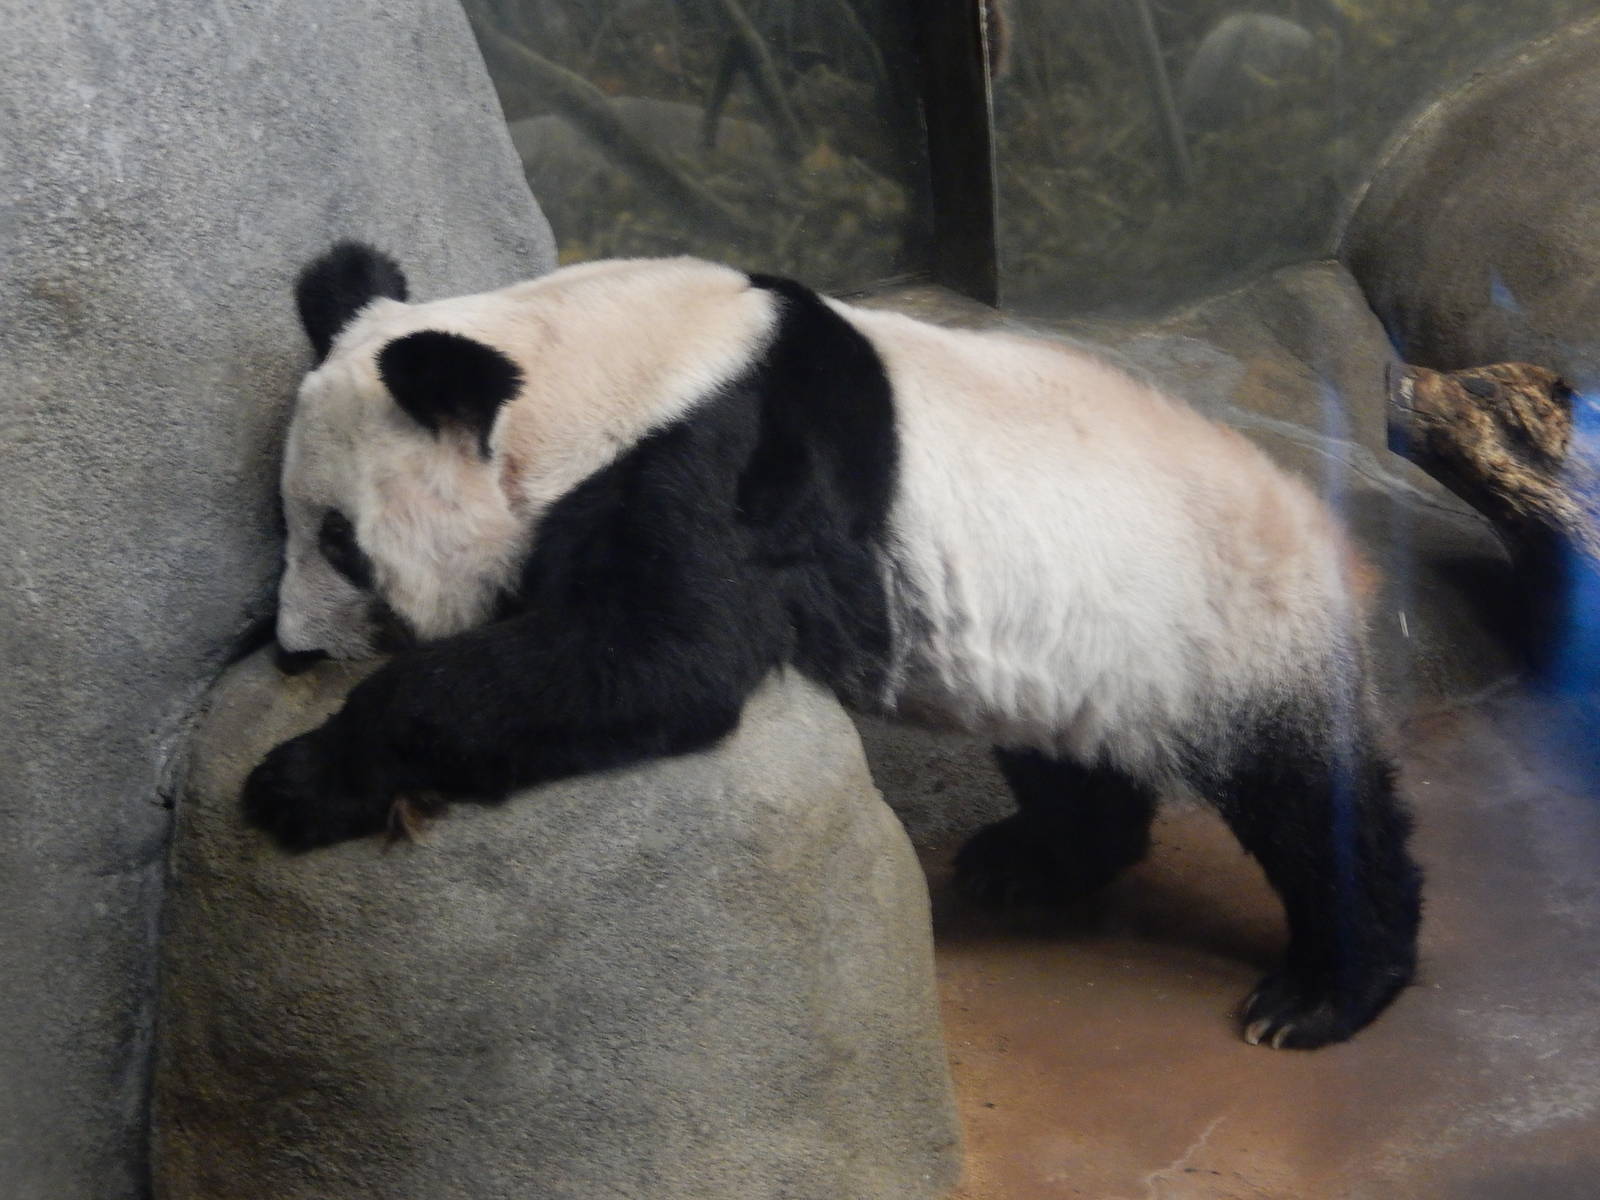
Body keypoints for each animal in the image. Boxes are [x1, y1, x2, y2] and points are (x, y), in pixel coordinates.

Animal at [246, 240, 1421, 1051]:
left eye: (340, 540)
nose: (293, 649)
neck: (588, 360)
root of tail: (1331, 540)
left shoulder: (720, 459)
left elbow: (658, 655)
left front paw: (297, 781)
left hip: (1232, 630)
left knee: (1311, 804)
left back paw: (1321, 992)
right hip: (1080, 651)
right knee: (1071, 762)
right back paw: (1026, 863)